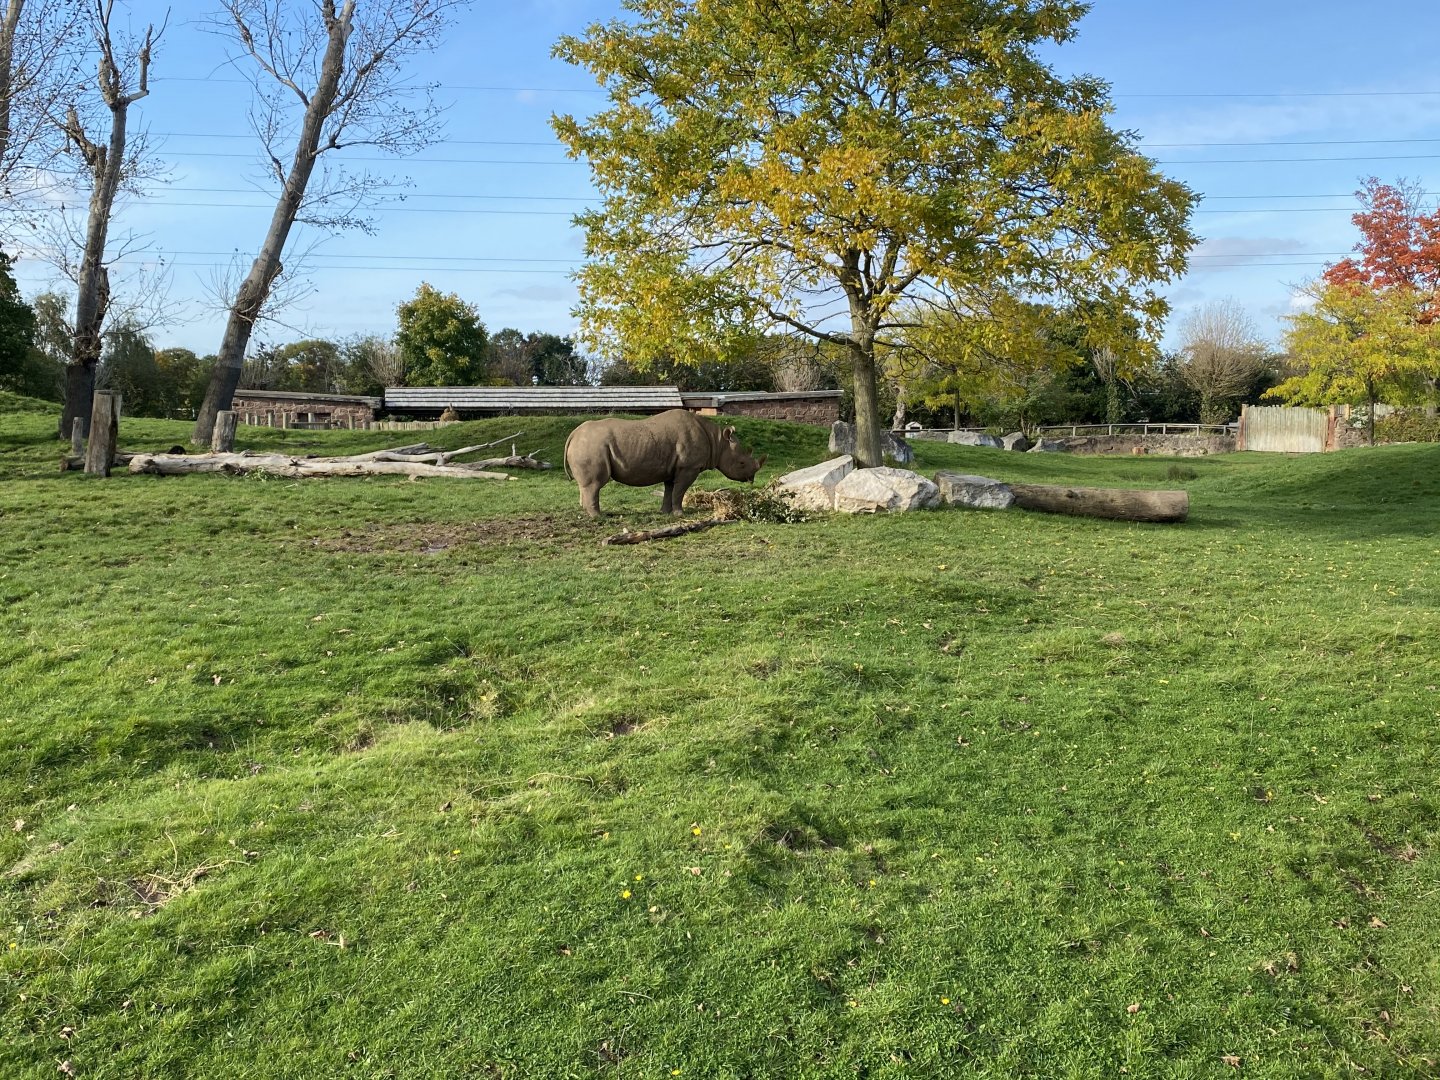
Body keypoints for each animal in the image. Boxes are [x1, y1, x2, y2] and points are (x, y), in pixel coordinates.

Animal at [564, 409, 766, 517]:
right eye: (741, 463)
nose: (752, 478)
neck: (717, 441)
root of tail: (573, 434)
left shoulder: (673, 468)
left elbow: (670, 489)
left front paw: (665, 512)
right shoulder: (688, 467)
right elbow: (679, 491)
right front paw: (680, 514)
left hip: (588, 445)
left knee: (587, 485)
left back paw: (588, 513)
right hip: (592, 446)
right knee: (596, 483)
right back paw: (599, 517)